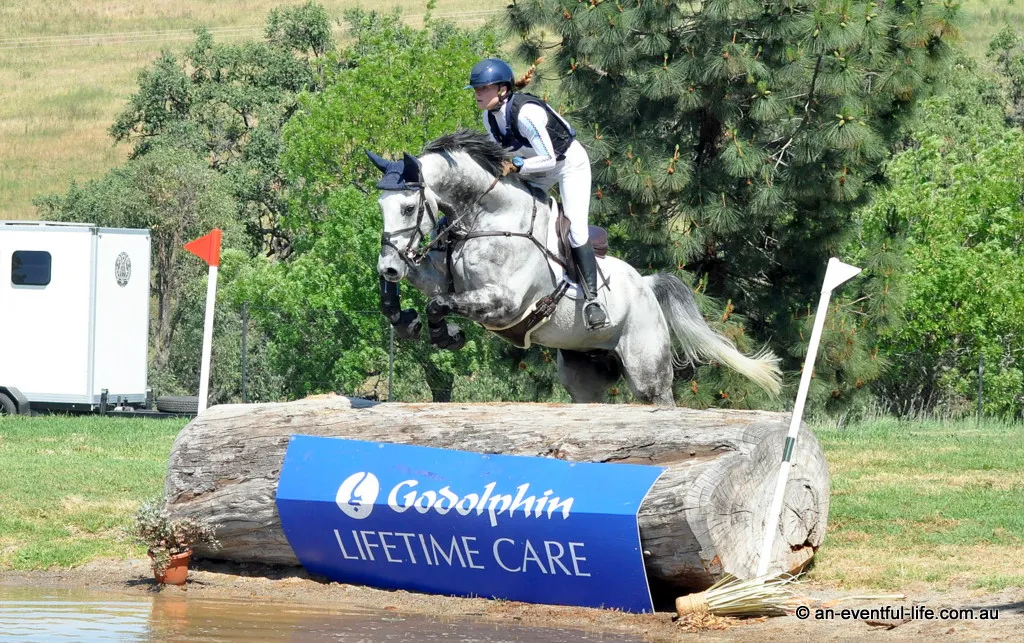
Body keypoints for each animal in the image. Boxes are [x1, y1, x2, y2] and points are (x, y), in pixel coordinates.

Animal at [367, 130, 781, 406]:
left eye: (408, 207)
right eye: (380, 206)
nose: (389, 266)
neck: (488, 217)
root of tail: (645, 285)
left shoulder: (505, 304)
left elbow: (439, 303)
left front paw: (444, 334)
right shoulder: (444, 279)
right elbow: (426, 294)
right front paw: (403, 319)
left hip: (647, 369)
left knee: (659, 399)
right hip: (584, 375)